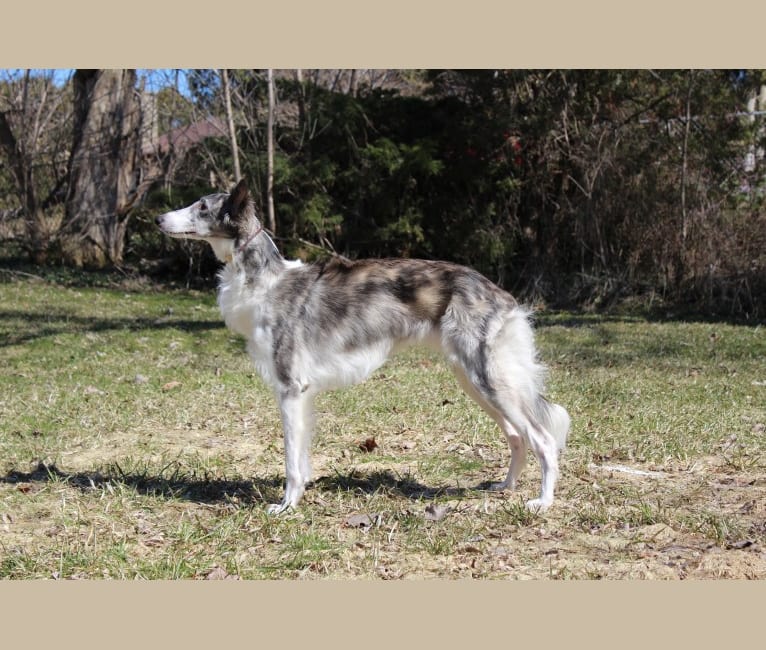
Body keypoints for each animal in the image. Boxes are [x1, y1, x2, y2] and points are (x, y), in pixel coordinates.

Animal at [158, 178, 568, 512]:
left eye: (202, 207)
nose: (159, 219)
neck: (266, 281)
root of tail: (501, 295)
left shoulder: (290, 388)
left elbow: (291, 461)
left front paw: (286, 506)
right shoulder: (300, 394)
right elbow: (301, 458)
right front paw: (298, 498)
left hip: (489, 380)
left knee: (544, 440)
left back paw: (543, 502)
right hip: (475, 380)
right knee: (517, 437)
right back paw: (506, 486)